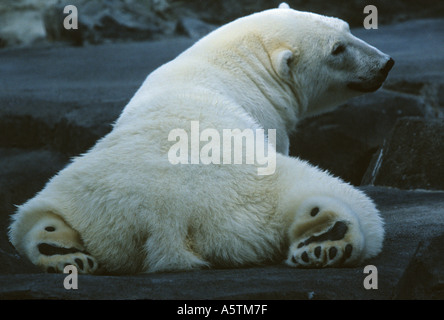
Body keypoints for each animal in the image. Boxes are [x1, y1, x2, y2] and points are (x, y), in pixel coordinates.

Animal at [8, 3, 394, 274]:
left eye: (346, 28)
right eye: (337, 49)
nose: (385, 63)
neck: (234, 64)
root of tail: (164, 220)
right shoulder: (271, 124)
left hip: (78, 187)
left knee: (32, 216)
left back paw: (59, 250)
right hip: (255, 193)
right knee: (336, 198)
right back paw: (326, 237)